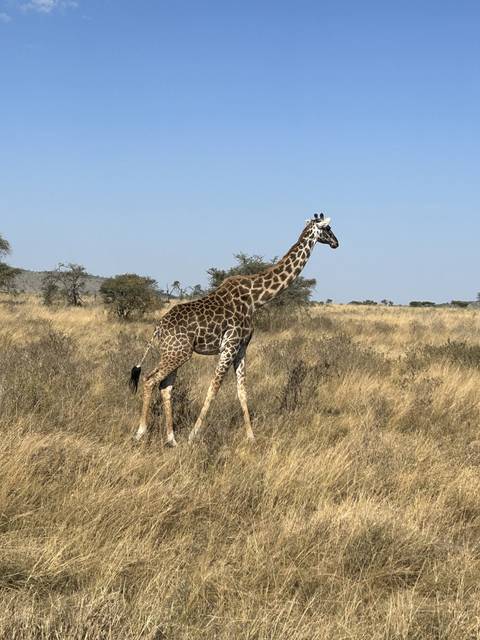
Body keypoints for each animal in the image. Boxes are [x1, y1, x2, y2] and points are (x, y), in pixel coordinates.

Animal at [130, 213, 339, 446]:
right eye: (328, 229)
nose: (336, 243)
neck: (256, 299)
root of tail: (158, 328)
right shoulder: (229, 346)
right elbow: (213, 389)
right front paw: (193, 436)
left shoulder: (241, 347)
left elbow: (242, 392)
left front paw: (251, 437)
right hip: (178, 353)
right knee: (149, 380)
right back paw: (141, 433)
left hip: (173, 353)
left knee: (165, 386)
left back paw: (172, 439)